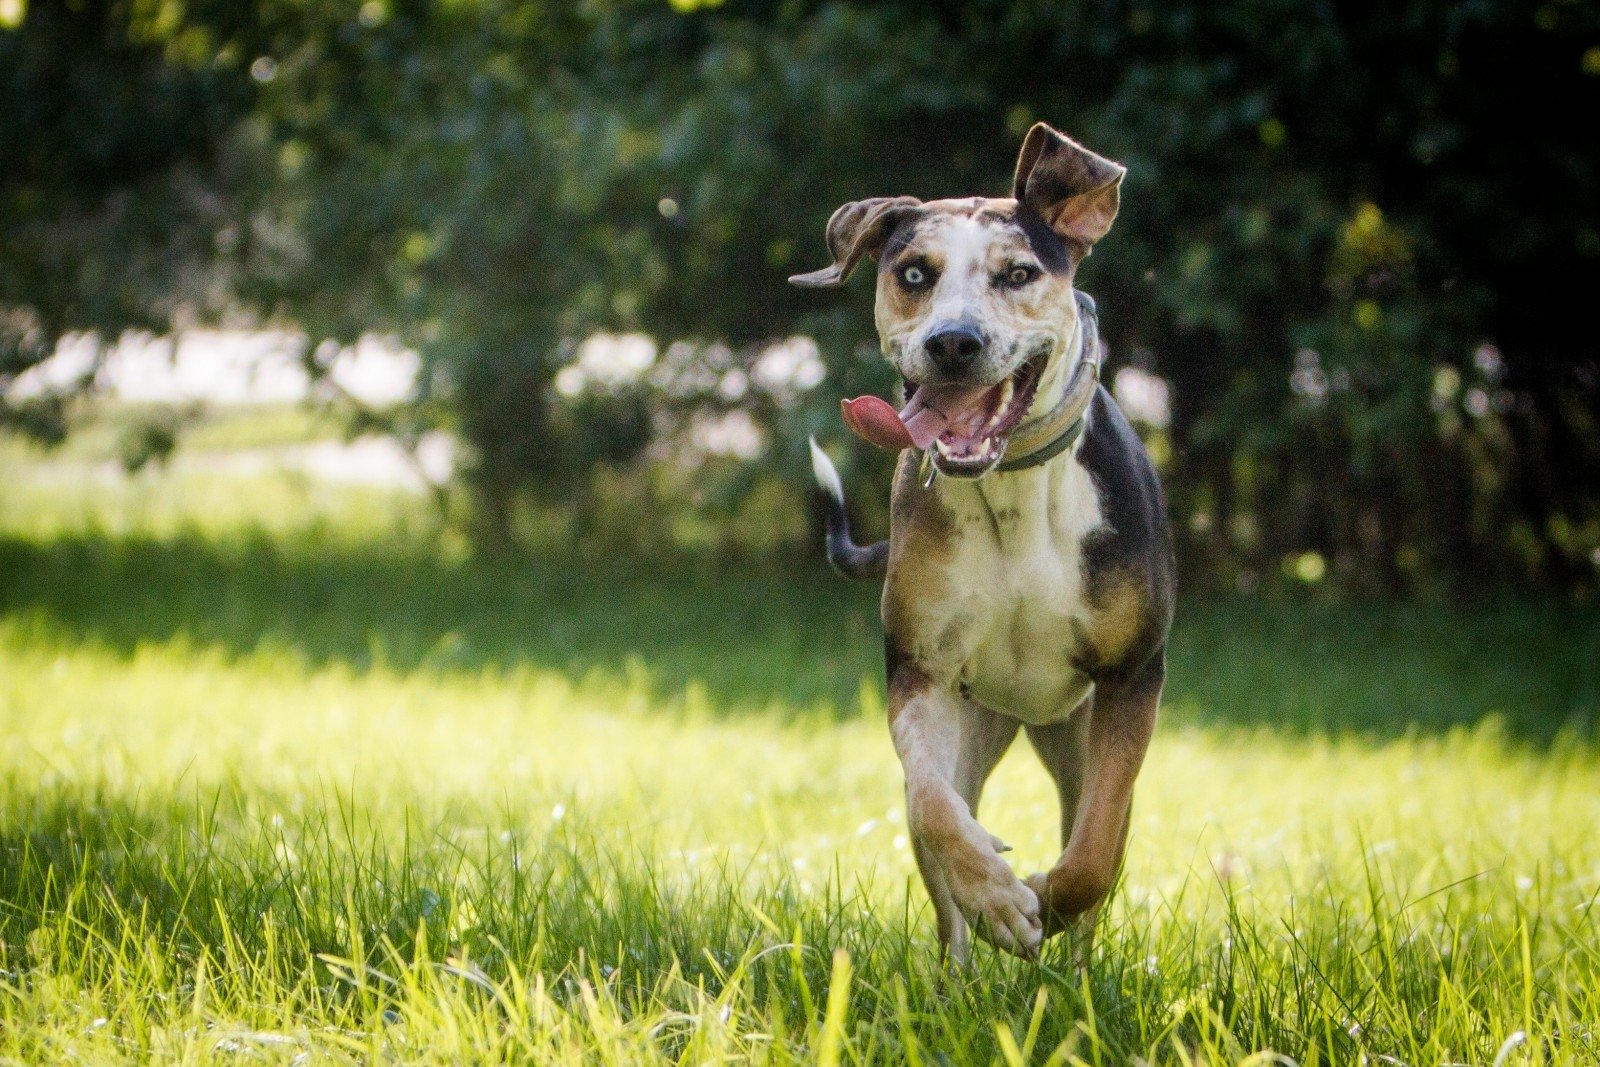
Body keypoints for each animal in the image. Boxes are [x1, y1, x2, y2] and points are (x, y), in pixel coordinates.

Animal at [793, 125, 1171, 966]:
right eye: (913, 272)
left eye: (1018, 273)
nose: (954, 343)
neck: (1013, 485)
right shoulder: (921, 669)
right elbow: (933, 804)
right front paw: (999, 896)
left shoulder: (1132, 678)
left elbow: (1094, 851)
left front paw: (1049, 899)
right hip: (975, 723)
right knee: (938, 853)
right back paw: (957, 971)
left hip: (1076, 733)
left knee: (1098, 834)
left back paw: (1077, 975)